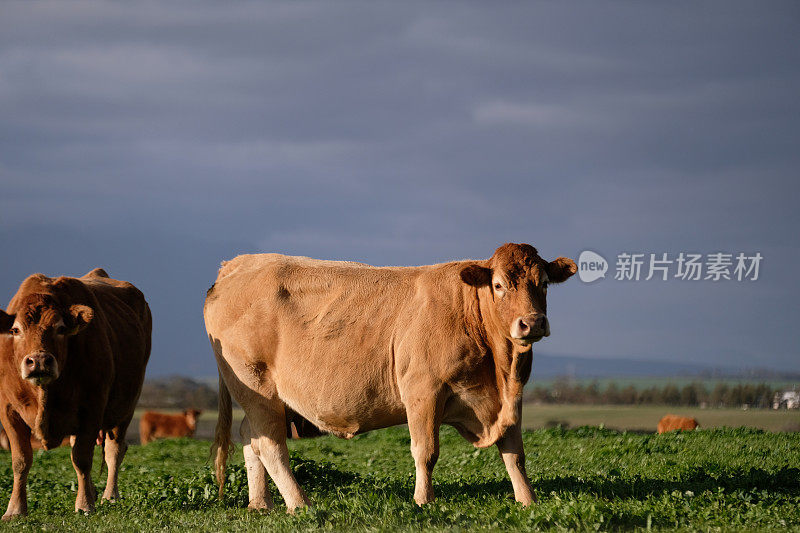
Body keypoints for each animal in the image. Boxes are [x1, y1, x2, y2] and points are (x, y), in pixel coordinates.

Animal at [0, 268, 152, 516]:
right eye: (15, 330)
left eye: (60, 328)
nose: (39, 361)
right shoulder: (8, 410)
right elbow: (20, 461)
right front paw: (14, 509)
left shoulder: (92, 407)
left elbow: (81, 459)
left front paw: (84, 505)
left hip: (127, 405)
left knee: (114, 450)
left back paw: (109, 496)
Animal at [206, 242, 576, 512]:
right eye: (498, 285)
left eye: (544, 284)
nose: (532, 323)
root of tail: (238, 263)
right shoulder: (423, 390)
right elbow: (426, 451)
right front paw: (424, 502)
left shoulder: (510, 400)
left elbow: (515, 453)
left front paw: (528, 502)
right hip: (256, 388)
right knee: (270, 446)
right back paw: (300, 505)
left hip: (266, 399)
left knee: (250, 438)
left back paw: (260, 504)